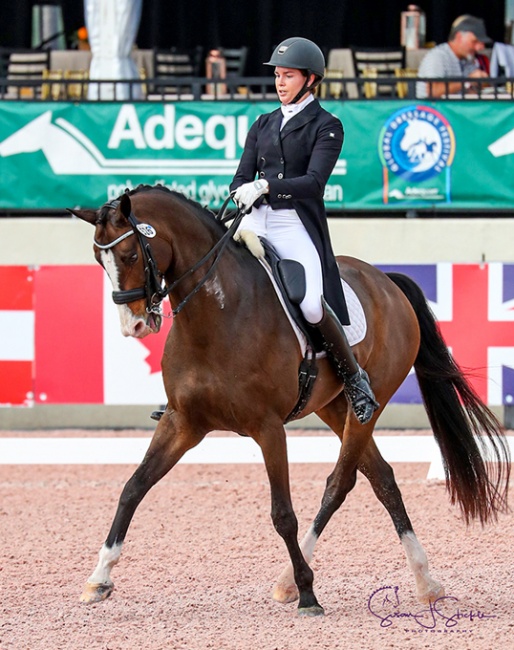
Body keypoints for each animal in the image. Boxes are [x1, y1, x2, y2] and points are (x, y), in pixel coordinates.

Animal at [73, 185, 508, 616]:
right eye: (98, 259)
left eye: (130, 255)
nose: (134, 325)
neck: (214, 315)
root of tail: (385, 280)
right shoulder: (182, 421)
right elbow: (133, 487)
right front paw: (99, 578)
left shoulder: (268, 429)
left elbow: (283, 515)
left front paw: (308, 594)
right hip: (333, 405)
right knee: (382, 478)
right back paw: (425, 581)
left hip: (371, 402)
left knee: (340, 482)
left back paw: (292, 582)